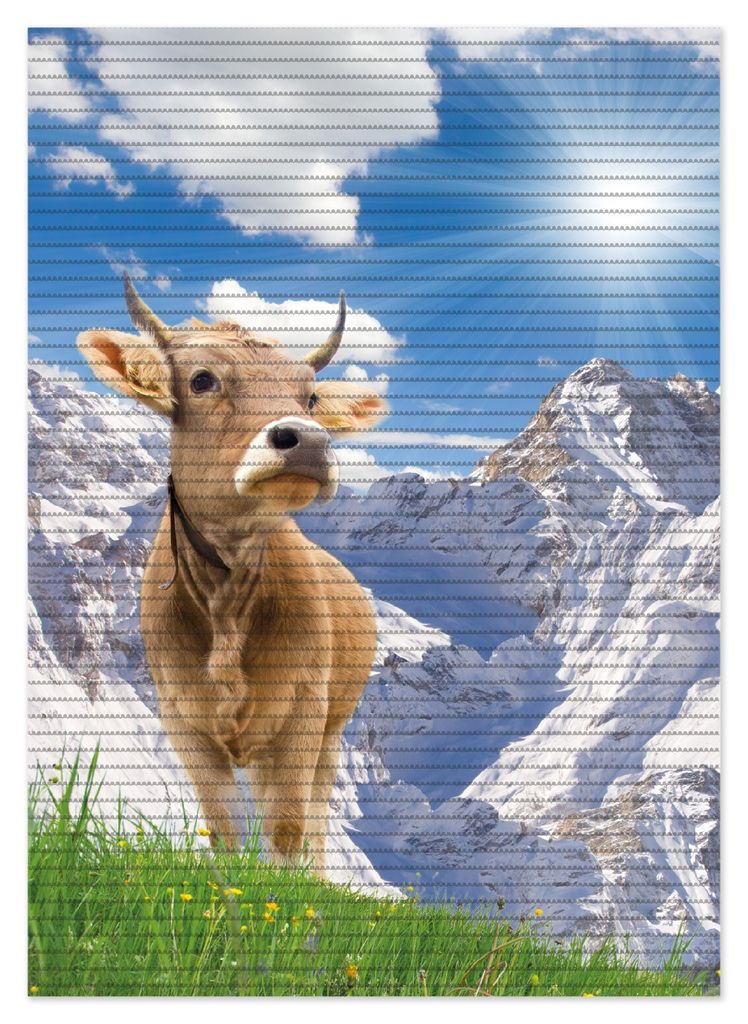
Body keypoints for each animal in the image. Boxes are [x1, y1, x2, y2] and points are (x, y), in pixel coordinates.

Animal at [77, 275, 387, 871]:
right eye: (202, 379)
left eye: (310, 396)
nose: (309, 440)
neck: (226, 604)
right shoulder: (184, 722)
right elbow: (224, 829)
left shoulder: (304, 713)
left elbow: (287, 830)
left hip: (333, 727)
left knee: (315, 817)